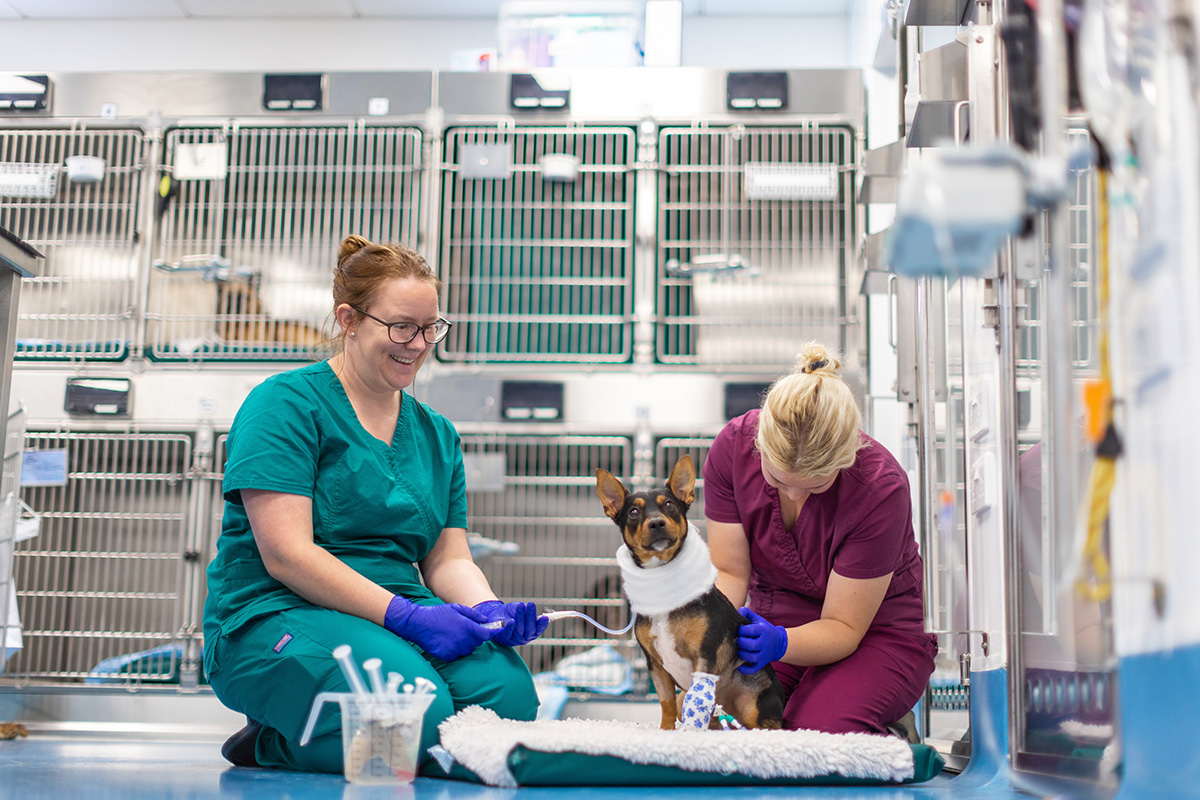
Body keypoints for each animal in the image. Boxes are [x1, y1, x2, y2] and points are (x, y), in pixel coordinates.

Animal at [595, 453, 782, 729]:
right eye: (633, 512)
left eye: (670, 505)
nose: (657, 523)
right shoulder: (656, 666)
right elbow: (666, 704)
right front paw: (666, 731)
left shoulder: (704, 659)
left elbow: (698, 700)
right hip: (697, 701)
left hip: (754, 704)